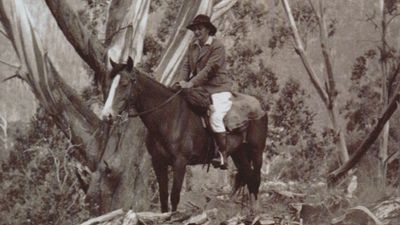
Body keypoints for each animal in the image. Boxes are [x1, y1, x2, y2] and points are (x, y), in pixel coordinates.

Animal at [101, 57, 268, 212]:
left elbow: (174, 196)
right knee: (249, 178)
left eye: (124, 84)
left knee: (256, 180)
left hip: (256, 153)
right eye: (110, 84)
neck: (168, 116)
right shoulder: (158, 162)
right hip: (239, 154)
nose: (106, 115)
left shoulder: (180, 163)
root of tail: (259, 108)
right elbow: (163, 196)